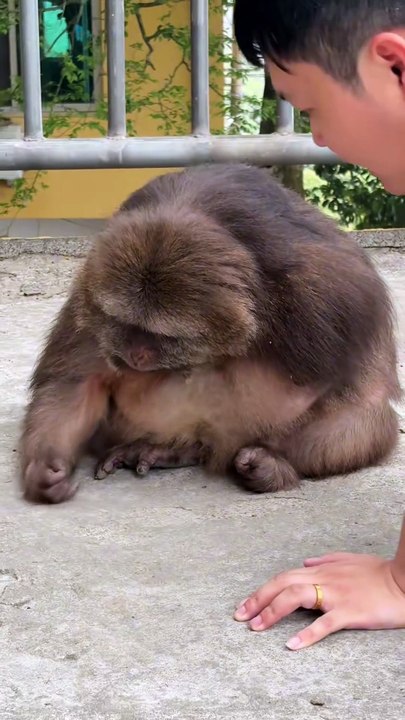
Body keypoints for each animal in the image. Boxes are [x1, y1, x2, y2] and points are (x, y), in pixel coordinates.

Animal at [19, 163, 401, 504]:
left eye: (165, 336)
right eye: (126, 325)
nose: (136, 355)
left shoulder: (323, 296)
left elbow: (307, 393)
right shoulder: (92, 288)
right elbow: (77, 381)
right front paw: (46, 468)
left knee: (361, 419)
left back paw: (263, 465)